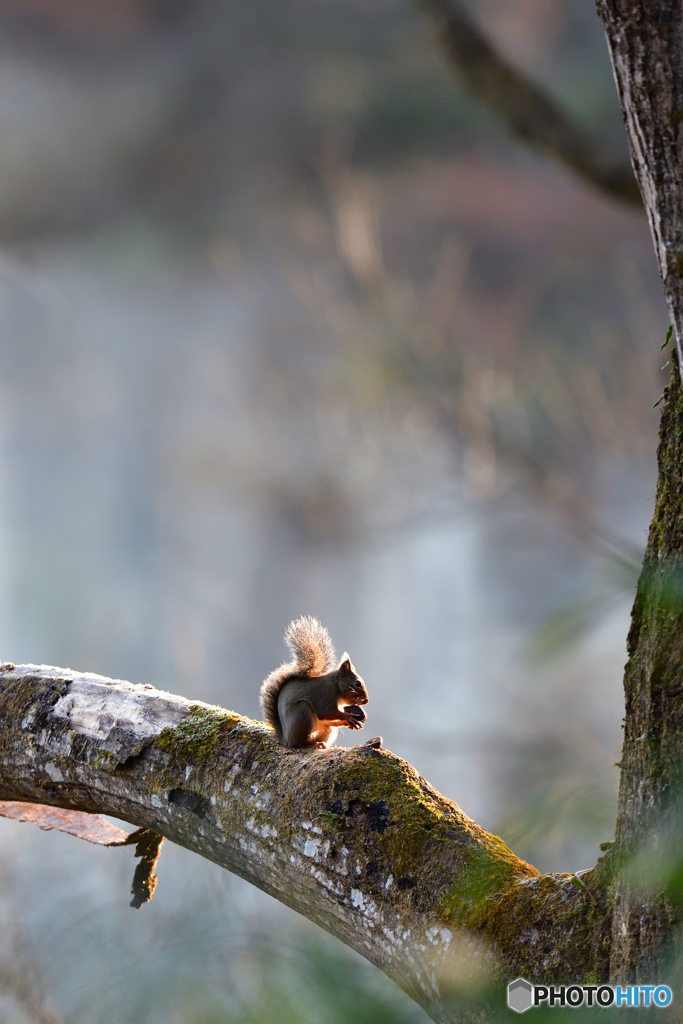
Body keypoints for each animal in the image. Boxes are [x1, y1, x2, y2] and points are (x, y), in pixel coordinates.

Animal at [260, 614, 382, 753]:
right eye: (357, 683)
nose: (366, 701)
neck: (336, 686)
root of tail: (286, 740)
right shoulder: (325, 694)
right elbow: (325, 712)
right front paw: (347, 717)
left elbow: (327, 717)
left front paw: (348, 721)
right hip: (302, 714)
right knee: (300, 743)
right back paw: (311, 744)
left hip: (325, 730)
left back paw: (322, 743)